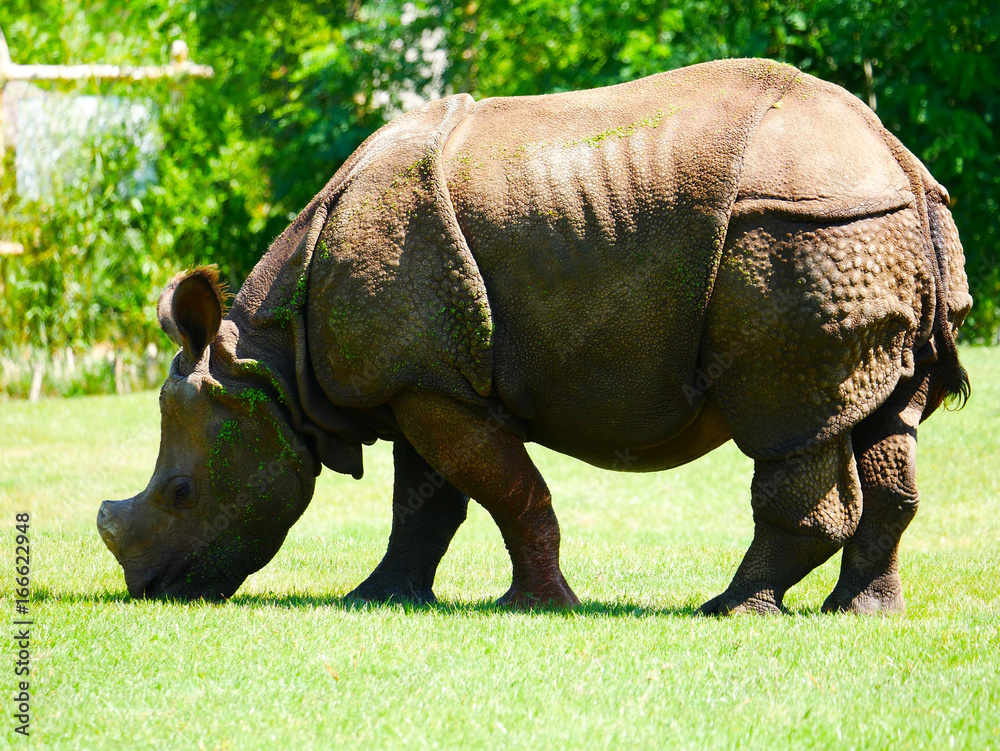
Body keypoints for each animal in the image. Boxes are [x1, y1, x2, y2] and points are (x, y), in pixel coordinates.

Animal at [97, 59, 971, 614]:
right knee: (885, 424)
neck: (273, 369)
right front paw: (379, 598)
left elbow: (509, 490)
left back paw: (728, 609)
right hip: (869, 228)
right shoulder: (423, 377)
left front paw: (537, 605)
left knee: (788, 423)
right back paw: (861, 613)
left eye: (182, 493)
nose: (149, 589)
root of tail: (895, 156)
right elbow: (425, 505)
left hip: (803, 233)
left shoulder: (433, 385)